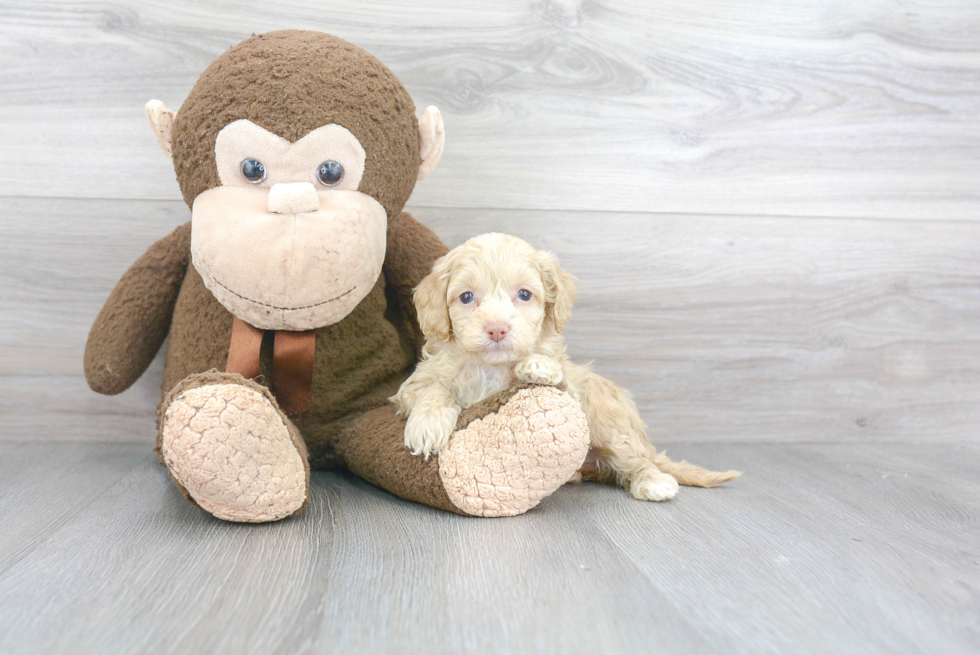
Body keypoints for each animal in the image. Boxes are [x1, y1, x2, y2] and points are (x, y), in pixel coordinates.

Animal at [388, 233, 736, 500]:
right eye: (466, 297)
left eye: (524, 294)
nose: (497, 329)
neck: (491, 367)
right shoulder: (417, 382)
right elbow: (432, 389)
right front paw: (427, 425)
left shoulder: (572, 390)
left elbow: (560, 374)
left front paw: (539, 365)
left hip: (610, 423)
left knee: (633, 458)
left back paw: (652, 481)